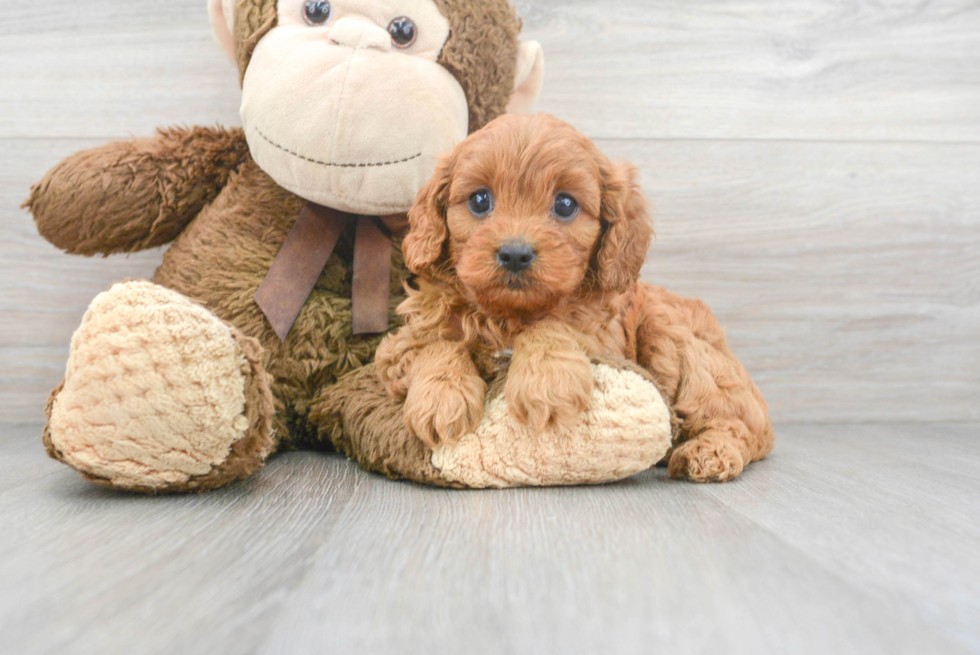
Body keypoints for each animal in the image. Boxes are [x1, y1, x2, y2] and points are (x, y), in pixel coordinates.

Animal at [376, 114, 772, 482]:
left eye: (565, 204)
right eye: (479, 200)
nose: (515, 254)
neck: (509, 315)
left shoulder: (603, 340)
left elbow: (553, 325)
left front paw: (547, 381)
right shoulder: (399, 344)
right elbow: (436, 345)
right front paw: (441, 399)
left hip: (676, 341)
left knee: (736, 425)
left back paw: (708, 454)